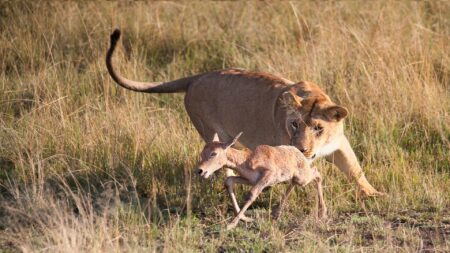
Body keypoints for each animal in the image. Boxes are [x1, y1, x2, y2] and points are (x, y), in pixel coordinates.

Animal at [195, 132, 326, 229]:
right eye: (202, 152)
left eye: (213, 153)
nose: (200, 170)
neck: (247, 159)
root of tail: (299, 153)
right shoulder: (250, 180)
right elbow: (229, 181)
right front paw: (245, 218)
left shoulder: (267, 176)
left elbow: (251, 194)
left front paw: (231, 224)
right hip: (296, 178)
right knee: (294, 183)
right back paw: (276, 213)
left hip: (303, 178)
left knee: (317, 173)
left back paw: (322, 212)